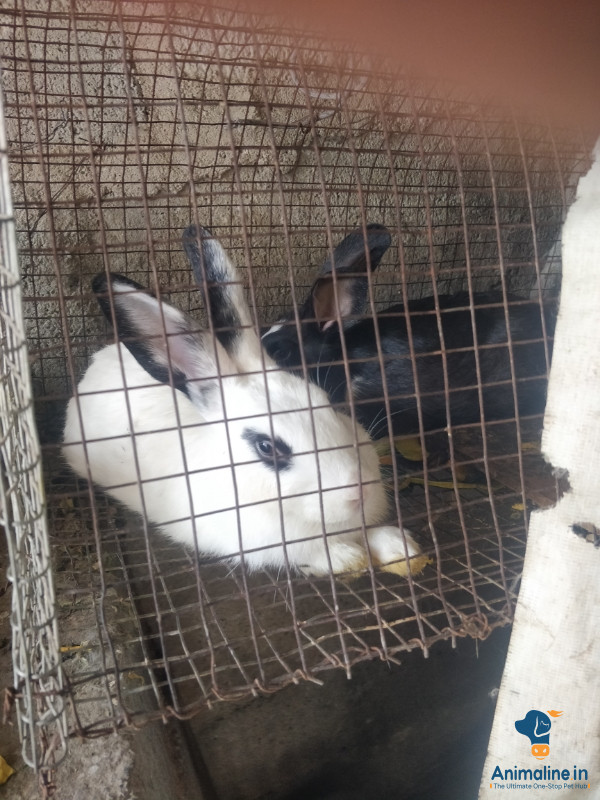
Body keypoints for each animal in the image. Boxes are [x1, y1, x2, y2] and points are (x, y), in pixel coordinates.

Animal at [62, 225, 424, 578]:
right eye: (267, 447)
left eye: (328, 406)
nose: (357, 492)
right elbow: (310, 553)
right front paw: (347, 557)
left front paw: (401, 547)